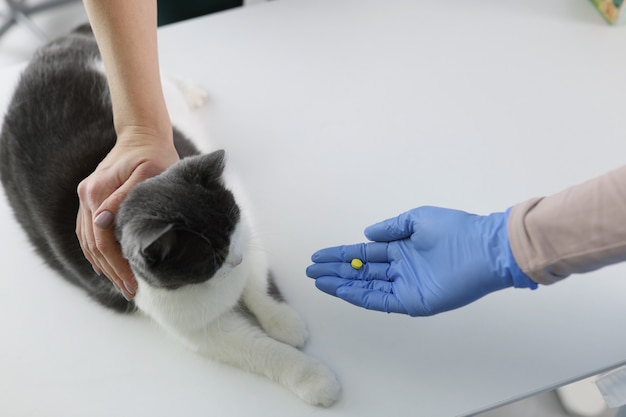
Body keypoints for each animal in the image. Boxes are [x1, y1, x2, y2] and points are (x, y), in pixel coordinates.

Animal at [0, 24, 338, 404]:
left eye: (231, 224)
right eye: (208, 258)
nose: (235, 259)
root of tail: (48, 50)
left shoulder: (246, 231)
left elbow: (259, 283)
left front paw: (285, 321)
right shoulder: (202, 327)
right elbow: (260, 350)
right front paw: (312, 377)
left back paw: (193, 92)